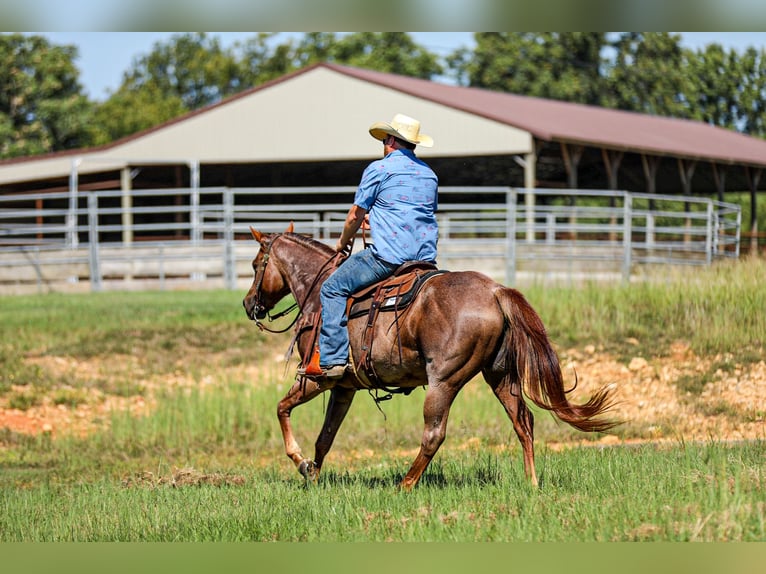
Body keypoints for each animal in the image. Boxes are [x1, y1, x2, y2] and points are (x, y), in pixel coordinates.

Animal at [243, 223, 616, 489]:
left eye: (256, 264)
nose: (249, 304)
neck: (318, 293)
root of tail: (496, 291)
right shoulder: (344, 387)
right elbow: (325, 437)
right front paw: (314, 476)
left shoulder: (316, 380)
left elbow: (282, 408)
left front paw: (300, 462)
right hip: (500, 375)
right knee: (523, 422)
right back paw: (532, 483)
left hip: (444, 381)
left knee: (434, 434)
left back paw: (405, 484)